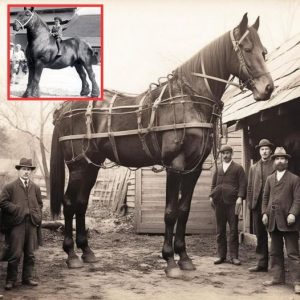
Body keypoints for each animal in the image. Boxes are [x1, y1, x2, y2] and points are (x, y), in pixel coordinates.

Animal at [49, 14, 274, 276]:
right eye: (247, 49)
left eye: (263, 51)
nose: (268, 88)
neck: (190, 100)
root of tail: (64, 108)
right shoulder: (175, 165)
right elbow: (170, 212)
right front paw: (170, 260)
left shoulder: (194, 168)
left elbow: (184, 211)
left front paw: (184, 257)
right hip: (77, 166)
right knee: (68, 203)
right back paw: (71, 254)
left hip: (91, 165)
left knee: (81, 204)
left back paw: (87, 252)